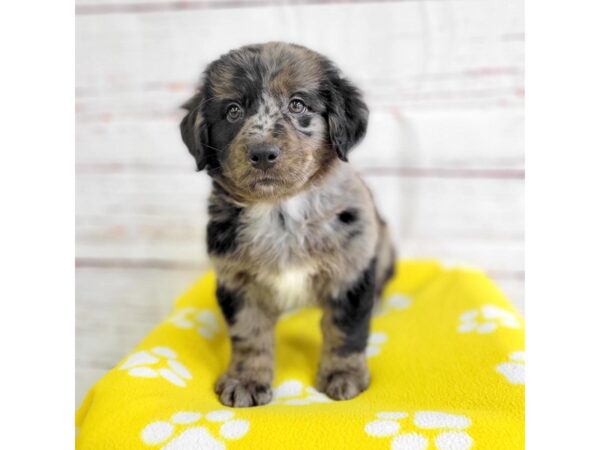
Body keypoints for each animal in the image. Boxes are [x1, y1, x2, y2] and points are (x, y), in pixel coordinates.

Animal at [180, 43, 396, 408]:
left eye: (297, 104)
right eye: (233, 111)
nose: (263, 153)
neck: (280, 211)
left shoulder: (351, 271)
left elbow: (346, 330)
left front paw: (343, 375)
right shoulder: (238, 282)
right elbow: (249, 335)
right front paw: (246, 380)